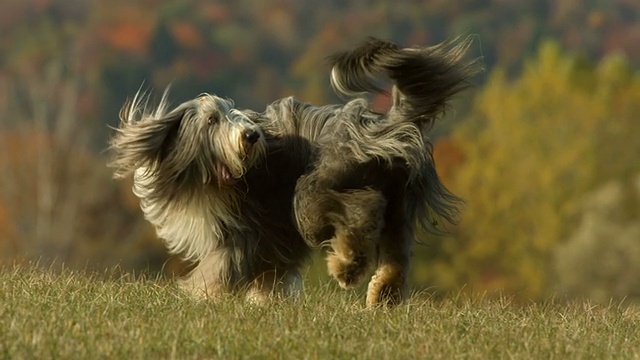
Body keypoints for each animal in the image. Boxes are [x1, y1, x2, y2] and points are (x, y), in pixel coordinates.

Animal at [111, 37, 480, 306]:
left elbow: (223, 267)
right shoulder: (270, 237)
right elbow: (270, 272)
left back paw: (346, 266)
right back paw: (383, 296)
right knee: (395, 252)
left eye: (231, 112)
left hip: (314, 190)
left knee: (361, 209)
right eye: (212, 119)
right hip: (399, 200)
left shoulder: (246, 230)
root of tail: (383, 125)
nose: (251, 135)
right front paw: (264, 301)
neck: (205, 180)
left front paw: (203, 296)